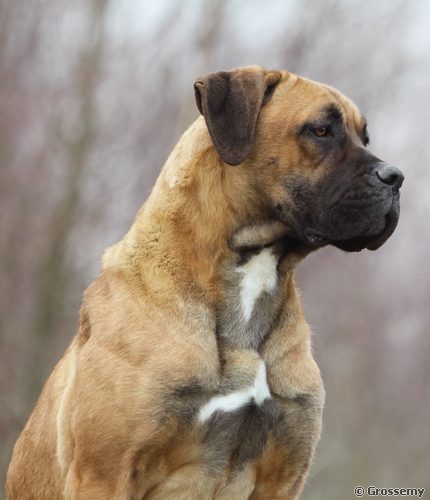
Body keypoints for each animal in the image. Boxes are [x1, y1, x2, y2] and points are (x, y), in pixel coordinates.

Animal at [7, 64, 404, 498]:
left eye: (364, 137)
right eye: (320, 130)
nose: (396, 177)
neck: (254, 267)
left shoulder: (282, 477)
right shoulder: (105, 474)